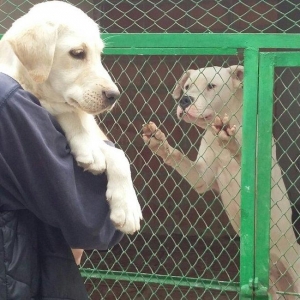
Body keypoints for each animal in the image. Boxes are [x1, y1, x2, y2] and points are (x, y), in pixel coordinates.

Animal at [0, 0, 143, 262]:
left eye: (100, 55)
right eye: (78, 53)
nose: (114, 95)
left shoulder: (93, 127)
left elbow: (118, 155)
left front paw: (127, 206)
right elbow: (69, 114)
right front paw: (89, 150)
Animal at [143, 65, 300, 298]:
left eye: (211, 86)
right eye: (187, 87)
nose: (185, 100)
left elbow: (239, 151)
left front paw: (230, 140)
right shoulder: (201, 177)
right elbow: (179, 157)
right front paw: (160, 143)